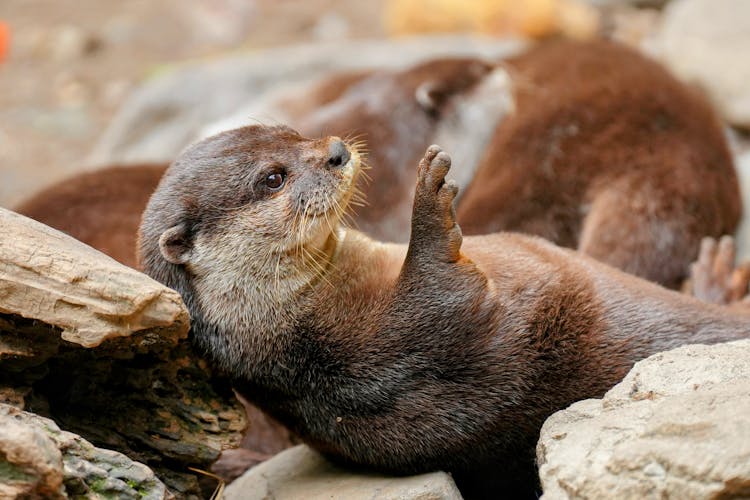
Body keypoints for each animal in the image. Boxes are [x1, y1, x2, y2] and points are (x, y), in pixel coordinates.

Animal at [138, 124, 750, 496]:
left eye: (293, 134)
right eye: (273, 178)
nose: (335, 151)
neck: (298, 335)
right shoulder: (388, 356)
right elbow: (450, 297)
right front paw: (429, 203)